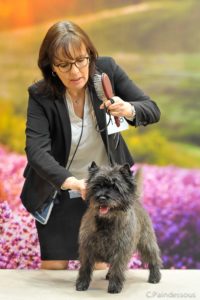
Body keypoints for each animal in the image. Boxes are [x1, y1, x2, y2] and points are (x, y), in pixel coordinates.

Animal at [76, 162, 162, 292]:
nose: (102, 198)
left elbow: (118, 267)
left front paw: (115, 286)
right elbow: (85, 267)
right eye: (97, 186)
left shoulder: (121, 249)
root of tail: (136, 201)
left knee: (153, 258)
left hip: (147, 242)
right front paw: (82, 284)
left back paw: (155, 277)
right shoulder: (87, 248)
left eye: (115, 187)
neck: (107, 221)